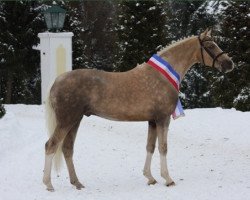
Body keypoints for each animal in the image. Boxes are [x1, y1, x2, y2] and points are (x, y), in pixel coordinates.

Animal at [42, 29, 234, 191]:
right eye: (210, 46)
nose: (229, 64)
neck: (162, 76)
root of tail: (57, 81)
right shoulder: (163, 119)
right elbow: (163, 147)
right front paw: (168, 179)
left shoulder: (152, 121)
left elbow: (150, 146)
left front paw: (150, 177)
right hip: (66, 121)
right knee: (51, 145)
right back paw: (49, 184)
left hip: (76, 120)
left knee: (67, 148)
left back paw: (77, 183)